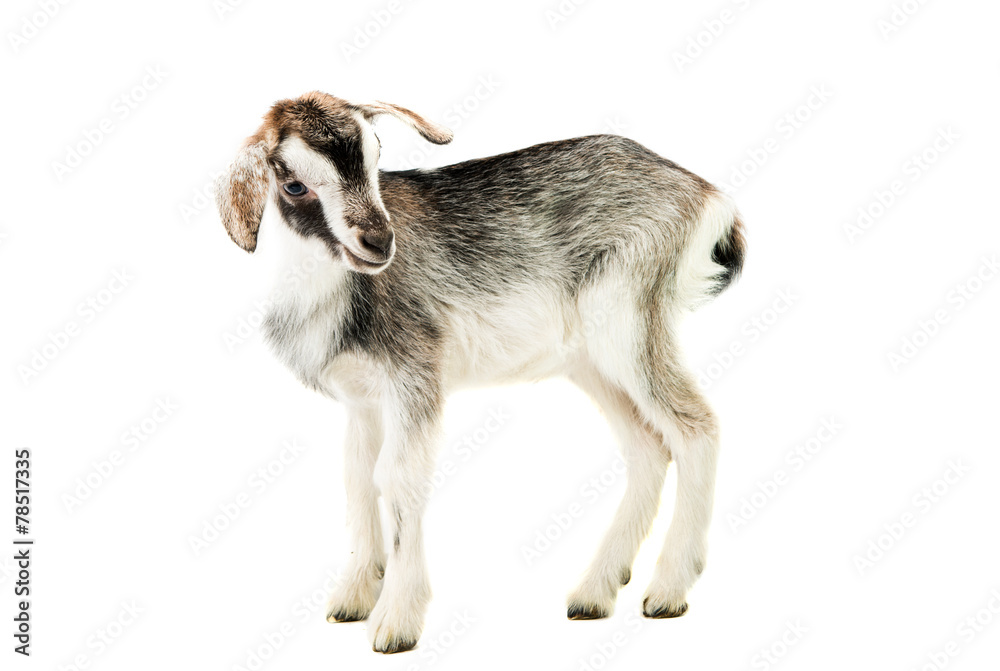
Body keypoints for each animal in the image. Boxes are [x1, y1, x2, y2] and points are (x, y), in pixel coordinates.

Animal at [215, 91, 746, 654]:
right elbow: (358, 479)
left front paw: (396, 622)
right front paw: (353, 598)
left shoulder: (415, 377)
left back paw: (667, 591)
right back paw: (594, 593)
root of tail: (707, 197)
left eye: (376, 158)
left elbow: (398, 477)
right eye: (294, 183)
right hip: (593, 362)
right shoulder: (362, 400)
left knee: (696, 427)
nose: (379, 242)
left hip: (631, 327)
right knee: (647, 448)